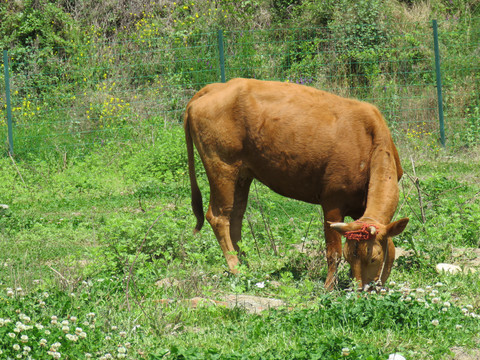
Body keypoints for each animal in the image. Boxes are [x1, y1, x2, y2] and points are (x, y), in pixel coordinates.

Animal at [184, 79, 408, 290]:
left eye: (374, 258)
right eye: (349, 256)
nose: (360, 289)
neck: (369, 143)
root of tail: (216, 86)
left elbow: (391, 247)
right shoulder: (332, 202)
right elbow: (333, 251)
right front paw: (329, 286)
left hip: (242, 174)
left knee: (236, 216)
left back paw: (246, 264)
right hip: (222, 166)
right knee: (219, 217)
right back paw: (235, 267)